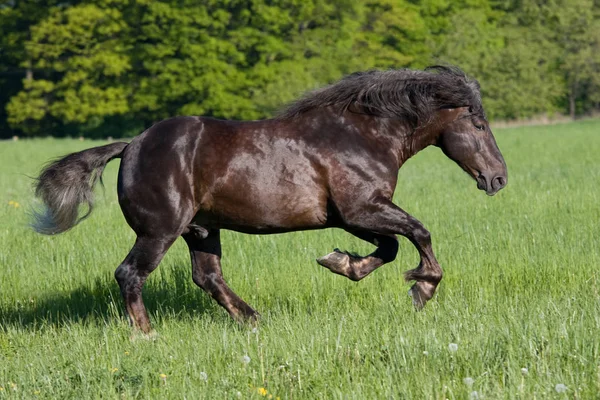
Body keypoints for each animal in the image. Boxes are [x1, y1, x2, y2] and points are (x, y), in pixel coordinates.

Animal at [34, 66, 506, 334]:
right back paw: (147, 333)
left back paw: (252, 320)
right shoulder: (362, 209)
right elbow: (419, 232)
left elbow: (389, 248)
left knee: (207, 277)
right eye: (479, 125)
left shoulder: (354, 217)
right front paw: (422, 288)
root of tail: (131, 144)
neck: (362, 136)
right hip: (160, 230)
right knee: (130, 274)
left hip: (201, 229)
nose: (498, 178)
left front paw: (342, 263)